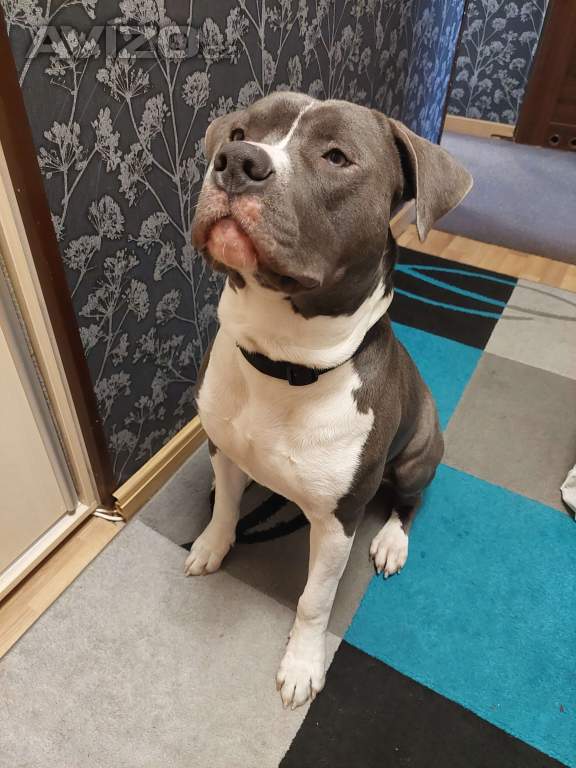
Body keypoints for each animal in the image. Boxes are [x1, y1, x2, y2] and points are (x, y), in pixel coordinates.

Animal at [187, 91, 472, 709]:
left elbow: (314, 600)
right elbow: (225, 509)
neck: (281, 360)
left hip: (417, 454)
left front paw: (301, 663)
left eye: (337, 156)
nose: (236, 160)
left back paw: (391, 541)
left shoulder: (339, 520)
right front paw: (212, 543)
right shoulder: (222, 449)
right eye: (240, 132)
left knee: (408, 502)